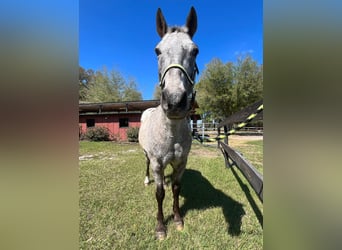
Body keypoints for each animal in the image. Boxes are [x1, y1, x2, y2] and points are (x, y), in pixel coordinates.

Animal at [138, 6, 199, 240]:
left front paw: (178, 220)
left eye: (195, 51)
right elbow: (160, 192)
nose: (174, 101)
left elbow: (175, 188)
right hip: (147, 156)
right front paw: (161, 228)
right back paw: (147, 179)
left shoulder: (181, 163)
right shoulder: (157, 162)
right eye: (157, 51)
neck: (171, 133)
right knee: (147, 167)